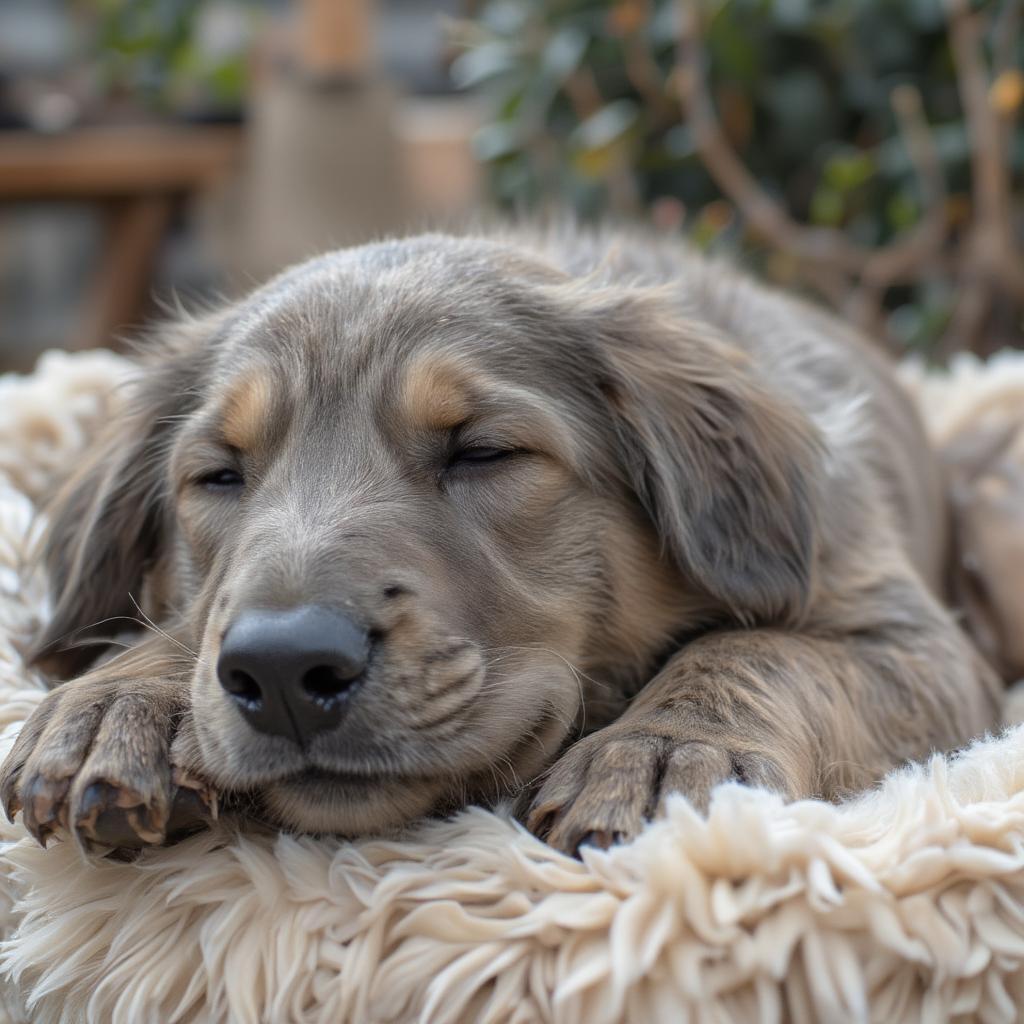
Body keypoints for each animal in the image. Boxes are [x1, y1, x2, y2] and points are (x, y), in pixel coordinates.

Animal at [0, 228, 999, 851]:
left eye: (483, 452)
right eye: (218, 476)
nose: (283, 671)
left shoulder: (913, 641)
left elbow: (759, 650)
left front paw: (668, 749)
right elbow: (187, 620)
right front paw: (123, 699)